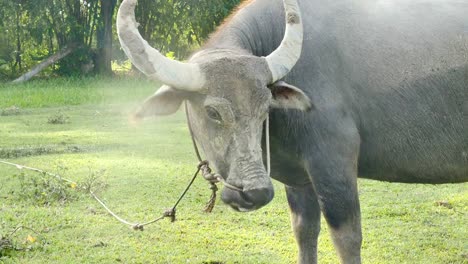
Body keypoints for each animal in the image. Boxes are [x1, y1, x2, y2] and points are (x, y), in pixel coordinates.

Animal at [116, 0, 464, 262]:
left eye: (264, 107)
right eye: (212, 112)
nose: (254, 192)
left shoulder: (334, 165)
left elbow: (347, 238)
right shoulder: (299, 179)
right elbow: (304, 232)